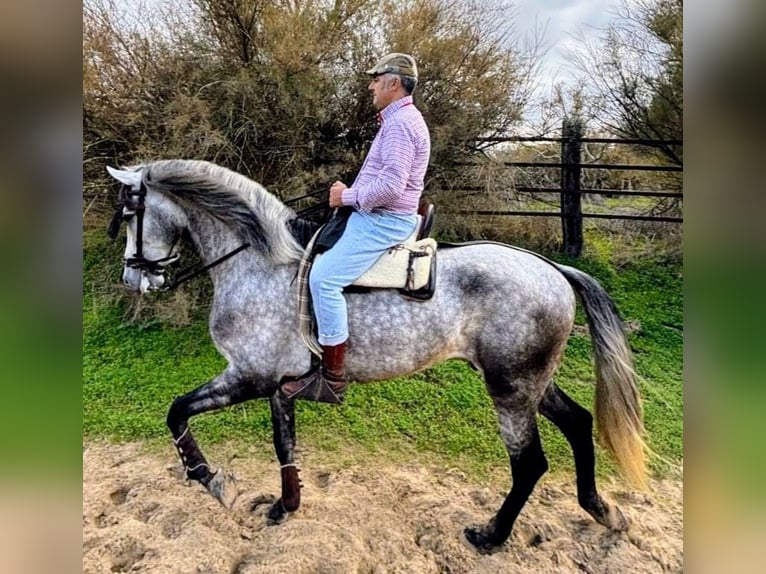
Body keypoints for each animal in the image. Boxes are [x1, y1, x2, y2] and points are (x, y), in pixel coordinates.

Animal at [105, 158, 646, 552]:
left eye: (129, 215)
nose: (134, 278)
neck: (260, 262)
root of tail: (553, 269)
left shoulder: (248, 377)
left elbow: (177, 412)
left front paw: (211, 480)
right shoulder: (278, 384)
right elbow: (285, 445)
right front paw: (285, 506)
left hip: (510, 389)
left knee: (530, 463)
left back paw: (491, 535)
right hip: (531, 382)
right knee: (578, 423)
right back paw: (602, 510)